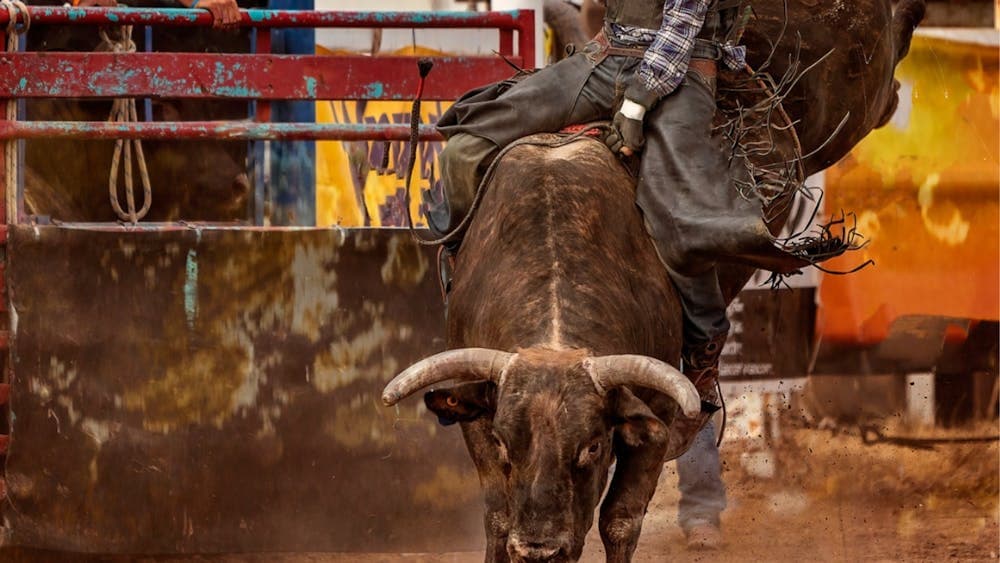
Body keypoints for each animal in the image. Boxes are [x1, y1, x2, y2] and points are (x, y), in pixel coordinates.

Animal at [380, 2, 920, 560]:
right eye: (511, 443)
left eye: (593, 446)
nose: (541, 548)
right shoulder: (479, 419)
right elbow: (497, 515)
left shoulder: (653, 421)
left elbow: (620, 519)